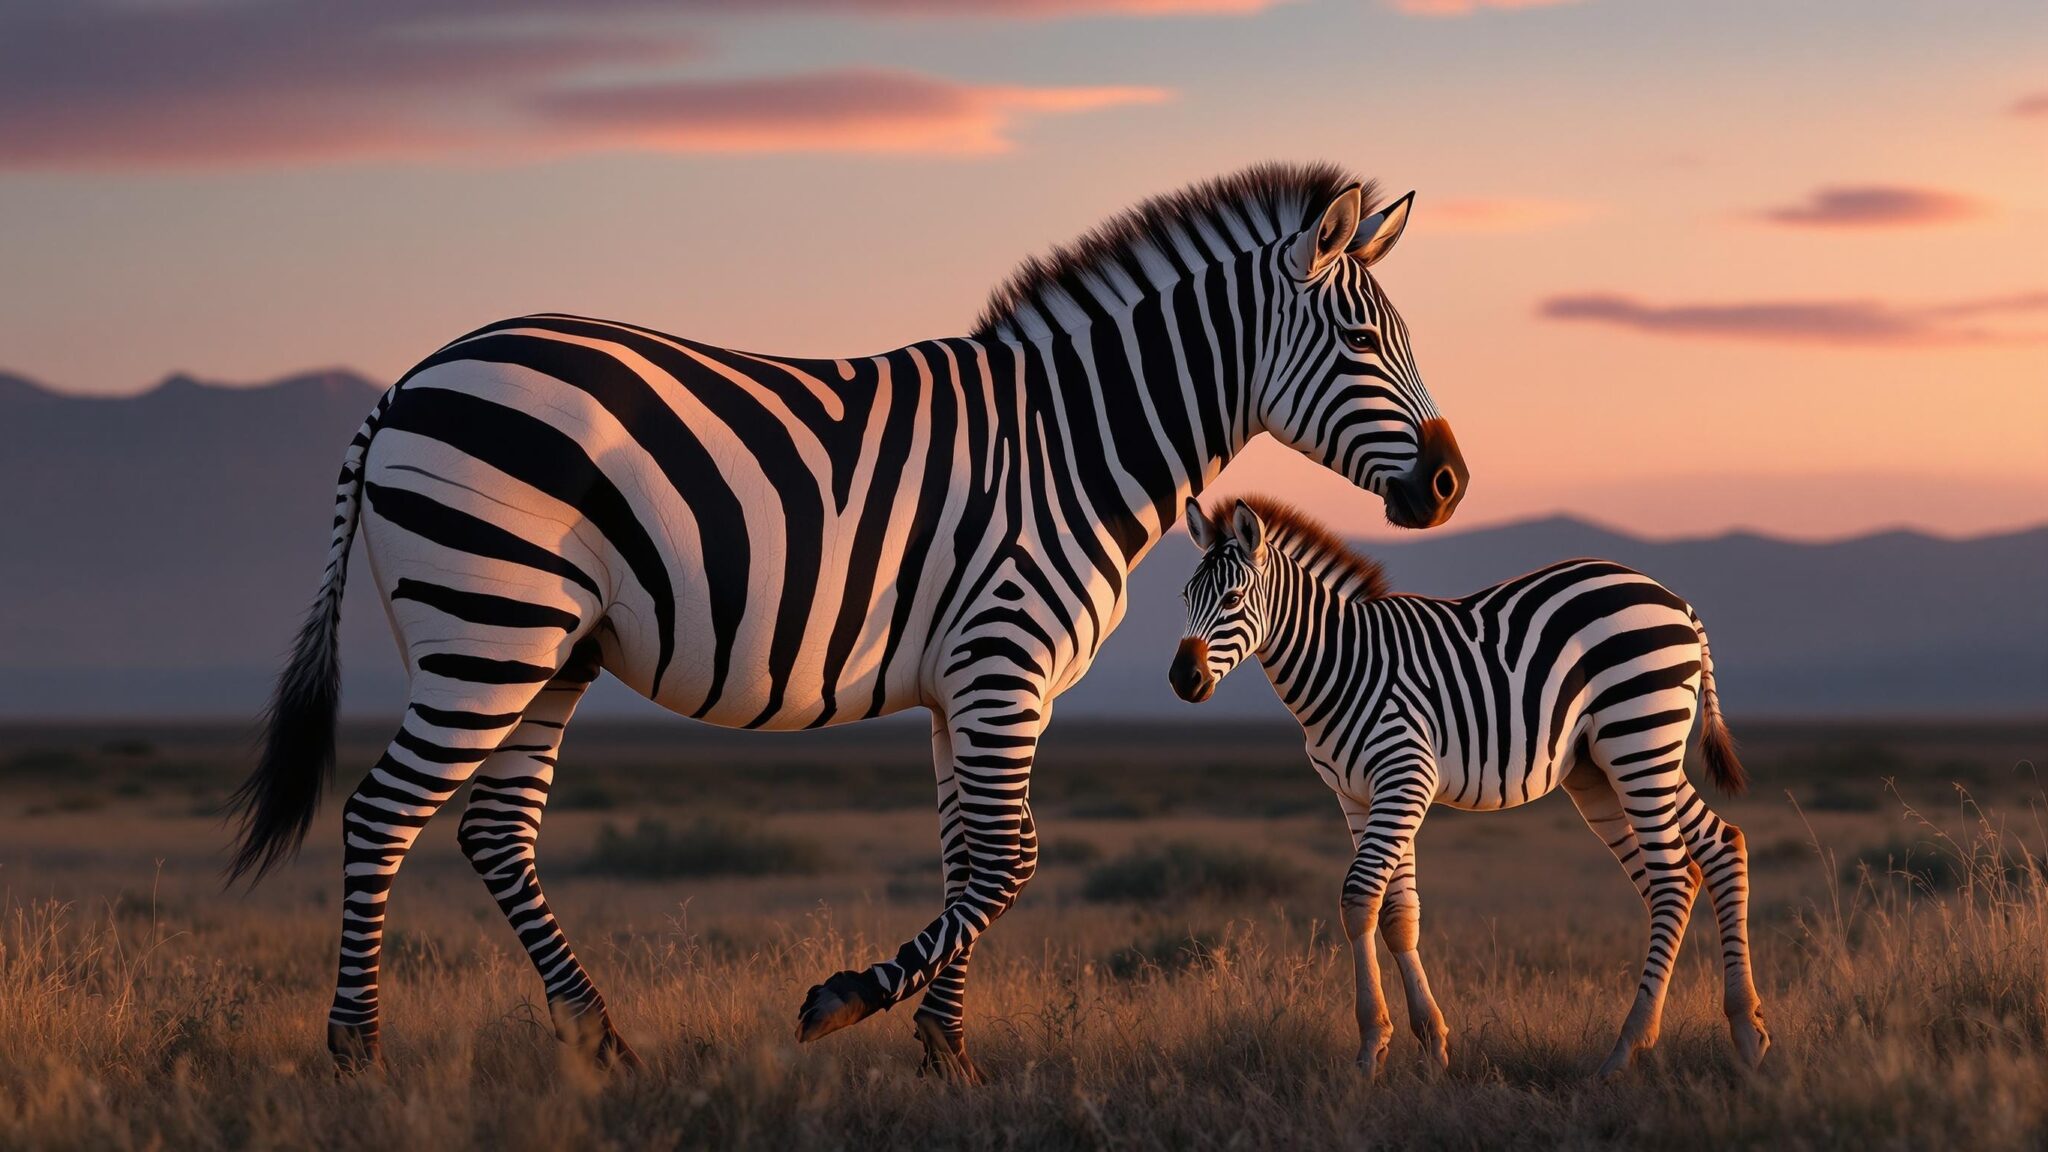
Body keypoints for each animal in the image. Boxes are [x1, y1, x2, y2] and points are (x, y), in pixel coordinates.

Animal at [226, 163, 1470, 1081]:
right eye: (1365, 346)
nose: (1449, 485)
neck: (1072, 448)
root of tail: (408, 382)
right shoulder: (1004, 660)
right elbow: (1009, 857)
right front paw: (846, 1004)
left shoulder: (964, 682)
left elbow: (968, 858)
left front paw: (941, 1048)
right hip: (488, 627)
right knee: (381, 814)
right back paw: (357, 1052)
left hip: (547, 650)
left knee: (493, 832)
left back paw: (601, 1041)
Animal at [1169, 496, 1769, 1079]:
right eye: (1185, 596)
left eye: (1233, 598)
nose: (1182, 680)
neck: (1342, 665)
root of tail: (1673, 600)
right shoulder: (1358, 797)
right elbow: (1398, 913)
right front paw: (1430, 1043)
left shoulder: (1405, 777)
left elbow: (1359, 900)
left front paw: (1369, 1049)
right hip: (1614, 764)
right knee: (1717, 849)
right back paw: (1745, 1031)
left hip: (1639, 738)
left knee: (1672, 878)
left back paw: (1627, 1050)